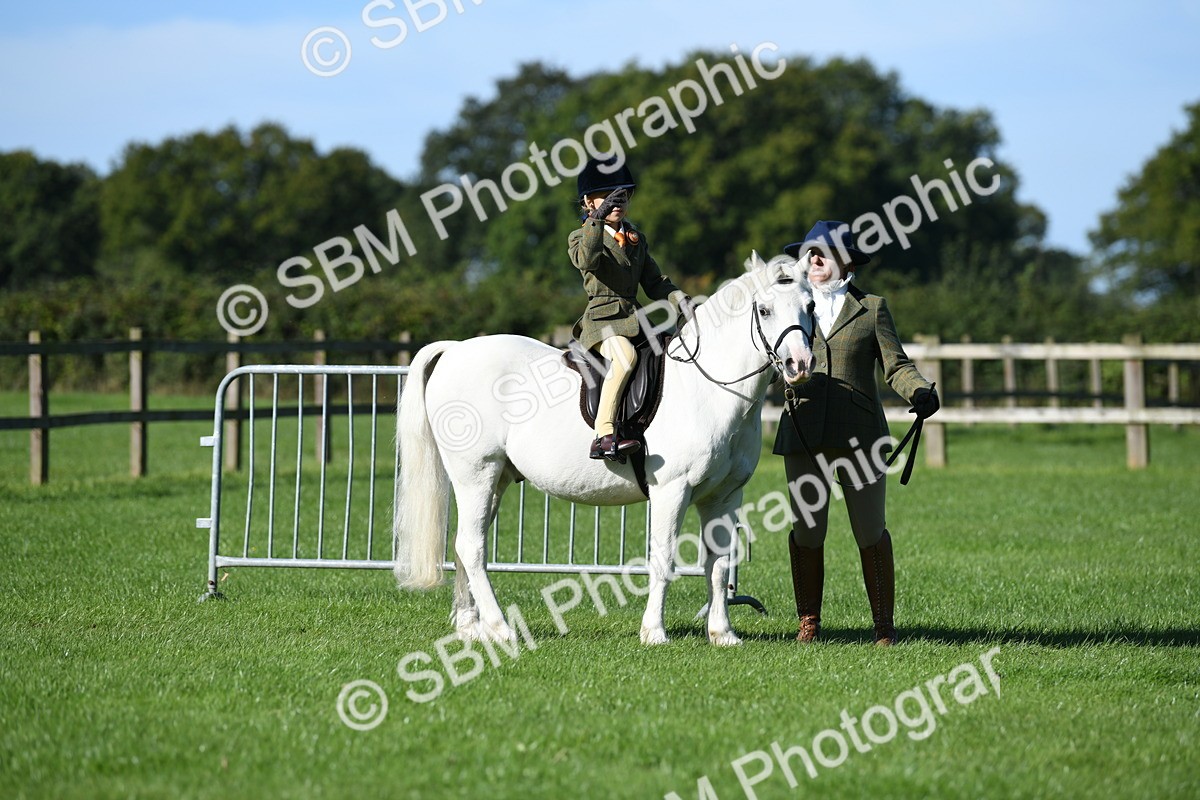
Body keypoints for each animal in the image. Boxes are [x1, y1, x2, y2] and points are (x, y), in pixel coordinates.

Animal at [393, 252, 815, 646]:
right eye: (764, 309)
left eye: (810, 306)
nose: (800, 364)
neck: (707, 388)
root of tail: (454, 350)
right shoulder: (672, 491)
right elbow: (663, 558)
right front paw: (654, 632)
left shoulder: (724, 496)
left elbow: (718, 565)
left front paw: (722, 634)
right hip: (475, 476)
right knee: (472, 547)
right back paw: (500, 629)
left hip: (492, 482)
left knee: (464, 546)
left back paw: (471, 629)